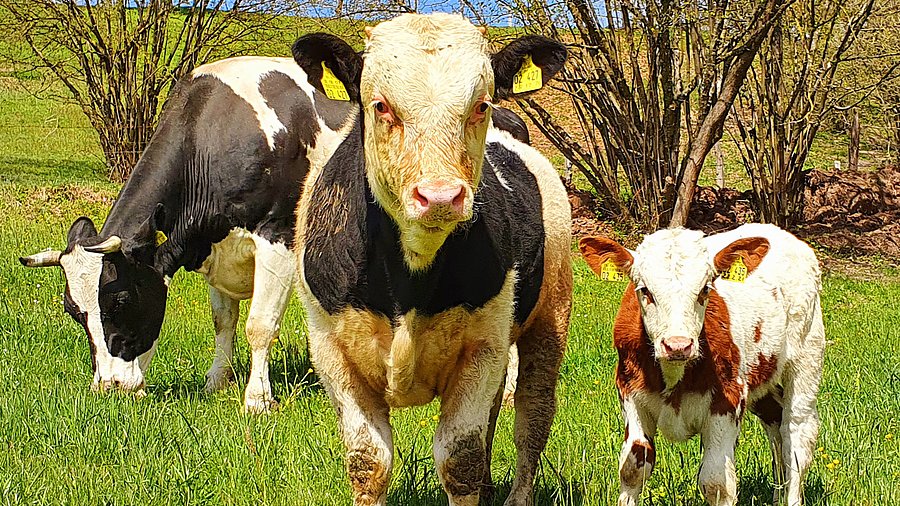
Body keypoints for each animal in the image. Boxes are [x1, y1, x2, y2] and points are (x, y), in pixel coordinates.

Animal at [580, 224, 828, 506]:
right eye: (644, 290)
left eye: (705, 289)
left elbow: (716, 482)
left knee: (796, 435)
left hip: (807, 358)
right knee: (775, 428)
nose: (677, 345)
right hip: (763, 378)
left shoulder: (728, 400)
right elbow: (632, 469)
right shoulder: (630, 393)